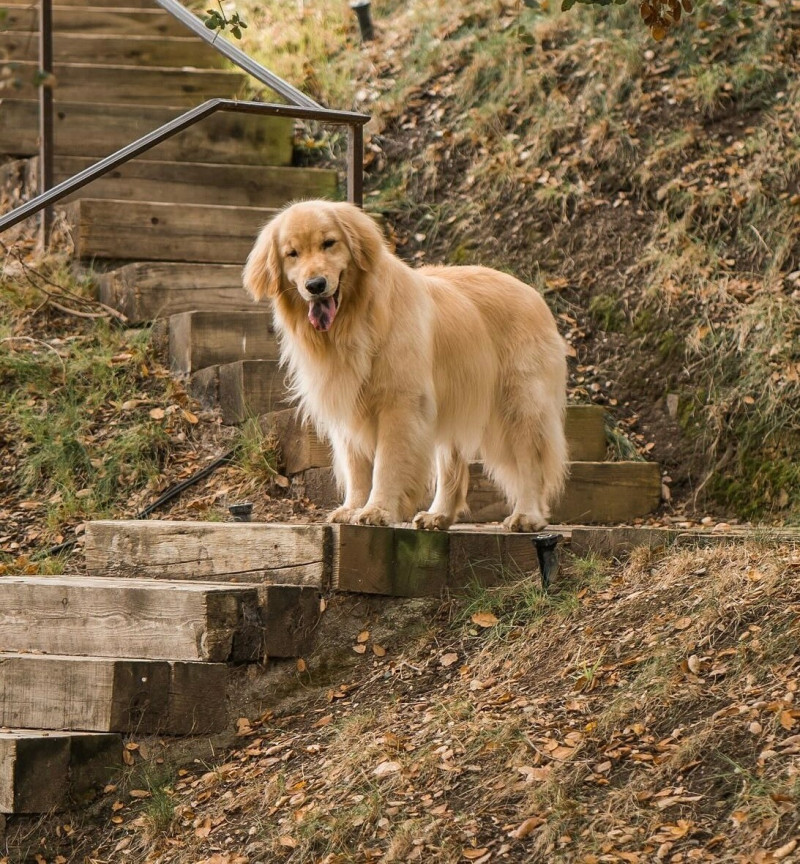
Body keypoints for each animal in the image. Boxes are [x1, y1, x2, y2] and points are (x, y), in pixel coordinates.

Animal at [244, 200, 568, 528]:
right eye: (292, 253)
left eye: (329, 243)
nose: (315, 285)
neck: (354, 320)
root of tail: (532, 292)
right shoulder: (347, 403)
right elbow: (356, 465)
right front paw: (352, 507)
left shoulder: (400, 403)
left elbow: (387, 463)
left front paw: (378, 509)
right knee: (451, 463)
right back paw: (439, 514)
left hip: (519, 406)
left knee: (530, 462)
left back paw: (527, 515)